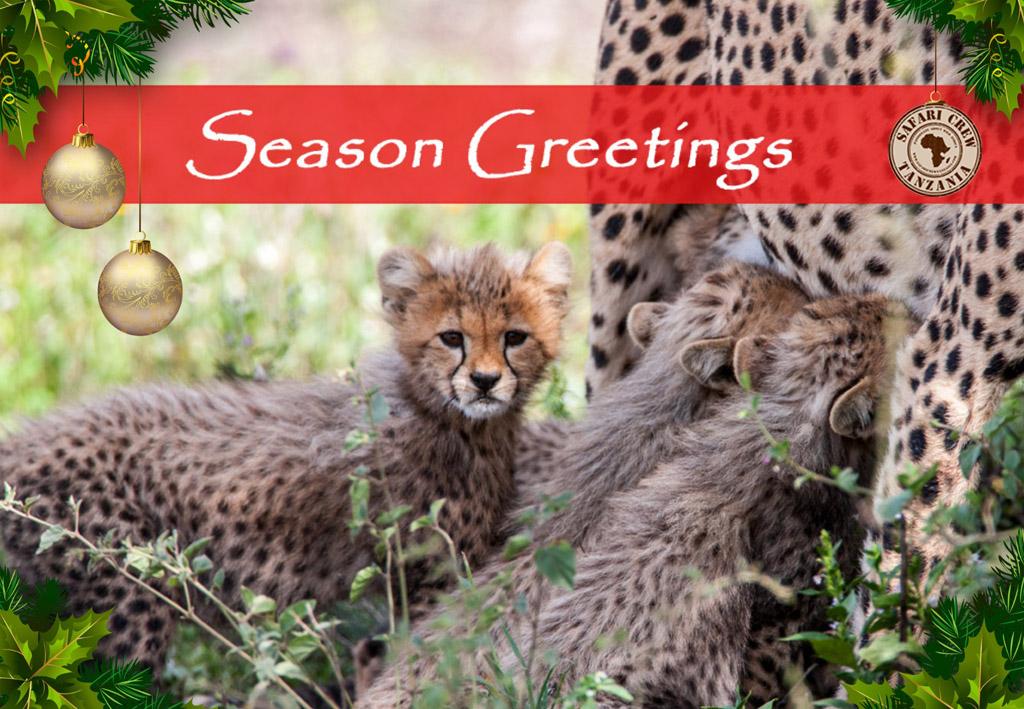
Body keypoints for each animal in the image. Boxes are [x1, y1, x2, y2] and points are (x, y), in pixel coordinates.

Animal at [0, 241, 573, 670]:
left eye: (515, 337)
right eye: (451, 337)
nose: (484, 381)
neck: (447, 417)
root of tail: (21, 442)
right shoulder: (423, 581)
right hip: (129, 599)